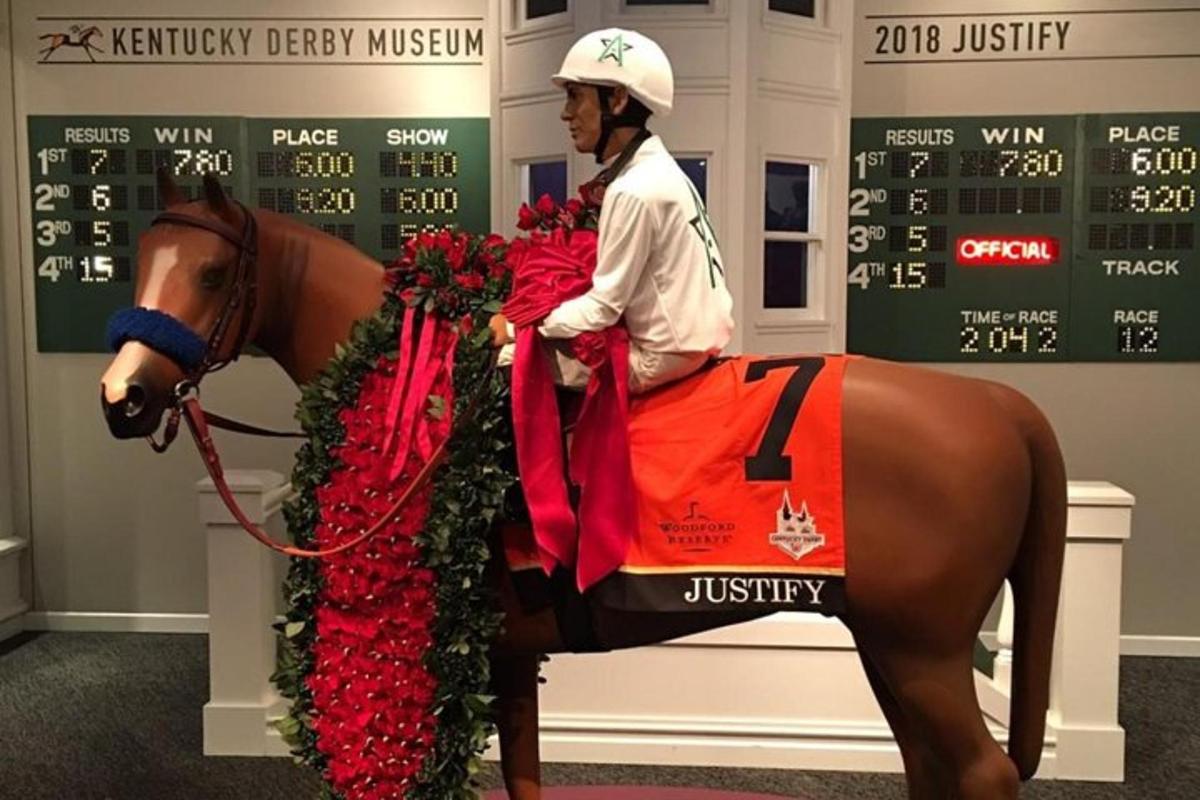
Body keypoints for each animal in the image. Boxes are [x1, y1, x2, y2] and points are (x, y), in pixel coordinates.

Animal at [98, 176, 1065, 800]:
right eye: (138, 261)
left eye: (212, 273)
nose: (123, 395)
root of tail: (998, 400)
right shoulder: (508, 653)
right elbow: (525, 775)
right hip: (891, 644)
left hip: (922, 650)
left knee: (977, 774)